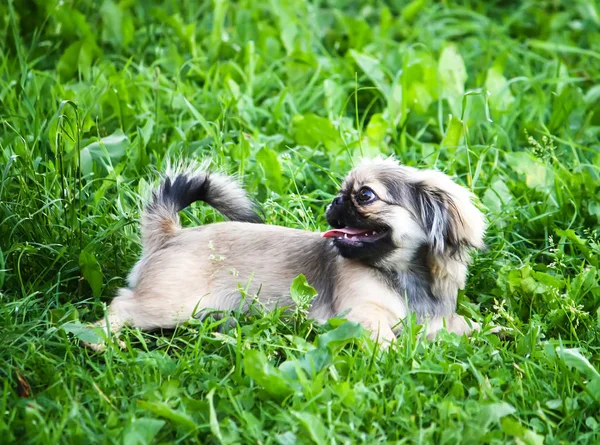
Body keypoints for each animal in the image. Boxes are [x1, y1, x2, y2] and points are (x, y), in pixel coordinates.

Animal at [85, 157, 492, 350]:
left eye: (365, 196)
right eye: (348, 193)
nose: (335, 200)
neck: (404, 277)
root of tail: (171, 235)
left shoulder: (439, 322)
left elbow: (466, 328)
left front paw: (494, 334)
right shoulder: (361, 316)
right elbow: (386, 339)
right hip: (172, 304)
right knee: (121, 306)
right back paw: (102, 343)